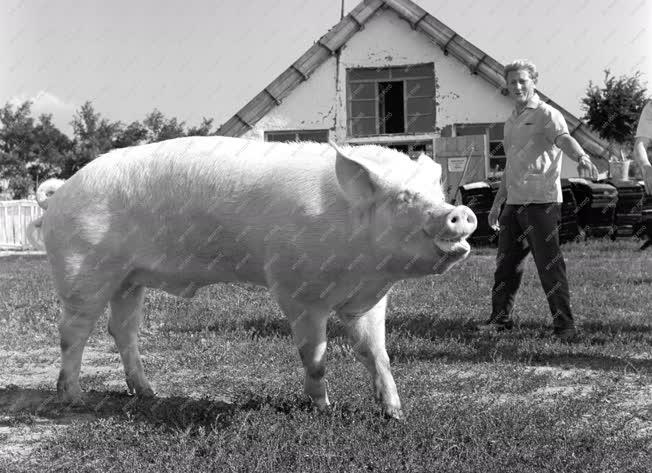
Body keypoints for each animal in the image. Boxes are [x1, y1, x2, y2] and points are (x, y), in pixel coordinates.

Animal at [30, 136, 476, 416]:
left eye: (437, 195)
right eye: (403, 198)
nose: (459, 212)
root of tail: (61, 191)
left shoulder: (369, 299)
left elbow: (376, 353)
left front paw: (395, 413)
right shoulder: (295, 290)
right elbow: (315, 355)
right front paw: (324, 409)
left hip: (129, 279)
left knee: (121, 329)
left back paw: (148, 392)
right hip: (82, 270)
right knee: (72, 331)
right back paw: (74, 399)